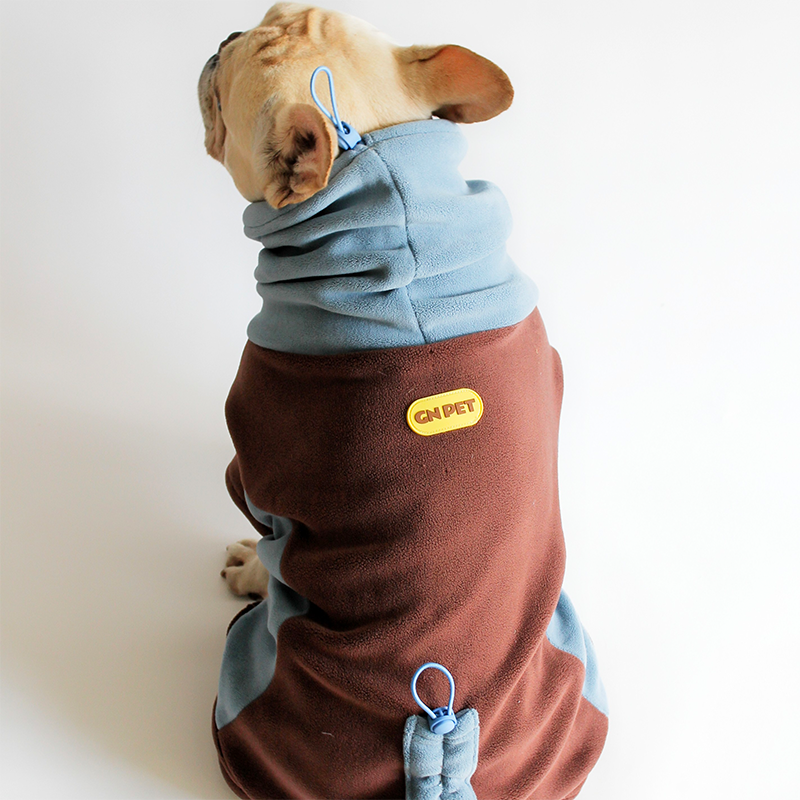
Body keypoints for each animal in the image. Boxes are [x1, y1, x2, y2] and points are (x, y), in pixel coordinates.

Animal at [199, 5, 608, 799]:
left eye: (229, 85)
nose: (222, 37)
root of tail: (445, 739)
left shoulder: (258, 464)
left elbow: (268, 538)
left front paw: (249, 566)